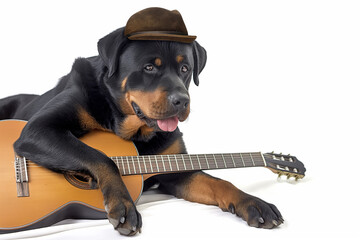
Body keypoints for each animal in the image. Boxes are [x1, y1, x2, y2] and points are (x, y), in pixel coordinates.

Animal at [0, 7, 282, 236]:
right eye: (149, 68)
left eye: (185, 69)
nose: (182, 100)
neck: (131, 129)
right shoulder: (38, 131)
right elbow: (100, 158)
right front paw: (123, 203)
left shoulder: (176, 168)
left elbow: (218, 182)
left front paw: (253, 202)